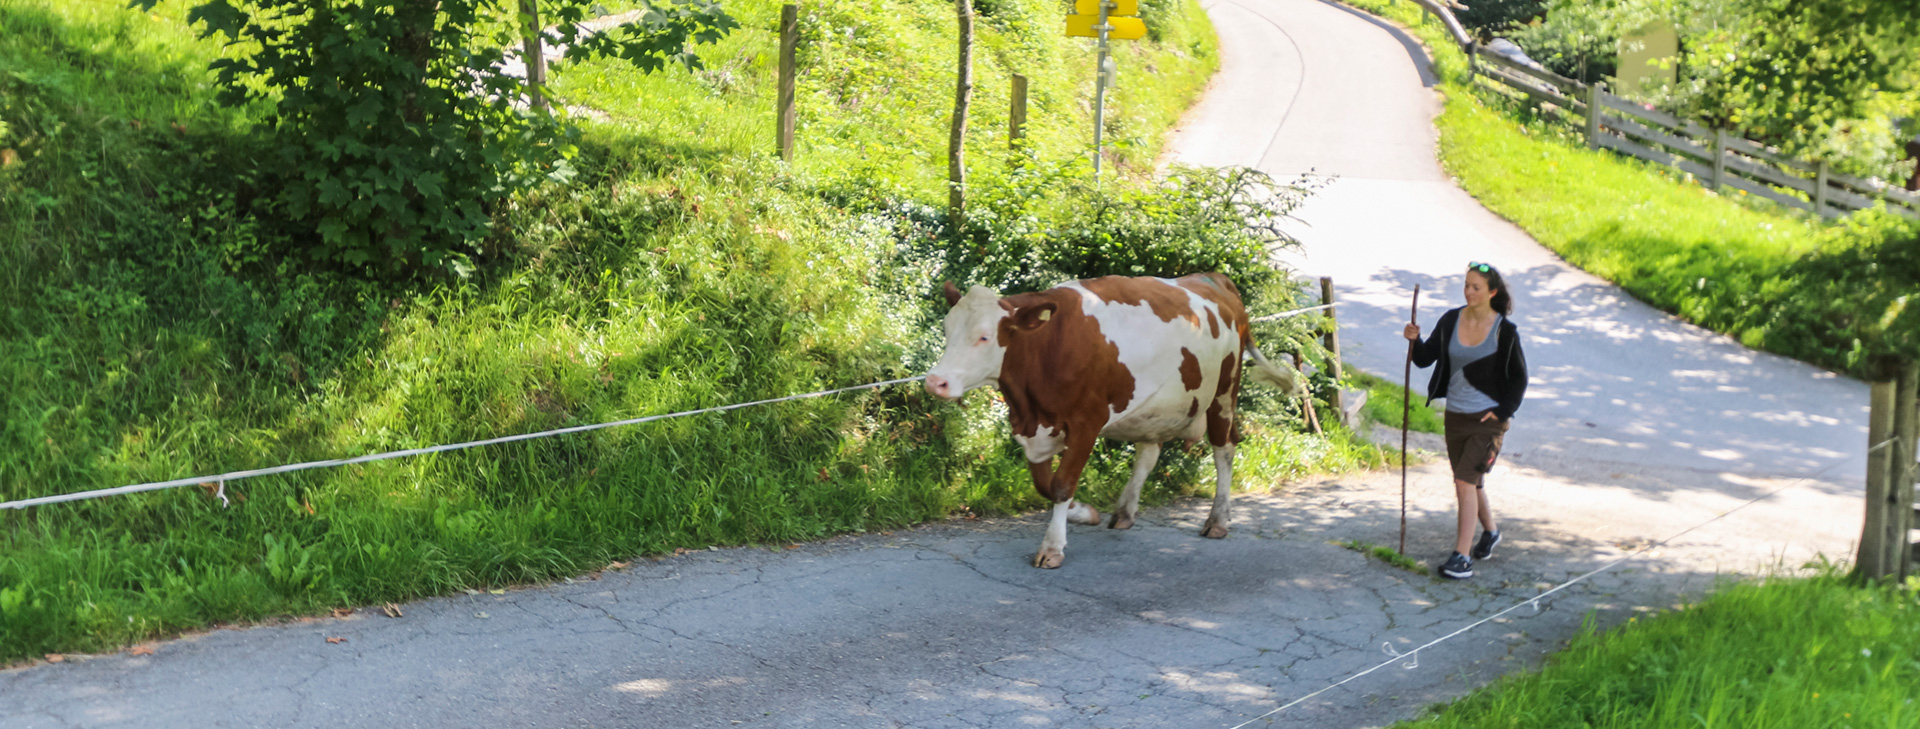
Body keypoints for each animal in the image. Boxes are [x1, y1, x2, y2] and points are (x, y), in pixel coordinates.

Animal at [925, 272, 1313, 567]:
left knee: (1224, 450)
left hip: (1223, 395)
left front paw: (1053, 546)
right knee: (1148, 454)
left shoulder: (1086, 421)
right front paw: (1084, 512)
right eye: (946, 330)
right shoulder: (1036, 428)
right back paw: (1125, 512)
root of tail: (1213, 278)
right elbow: (1044, 485)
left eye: (984, 337)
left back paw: (1217, 520)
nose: (934, 381)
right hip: (1156, 409)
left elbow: (1062, 483)